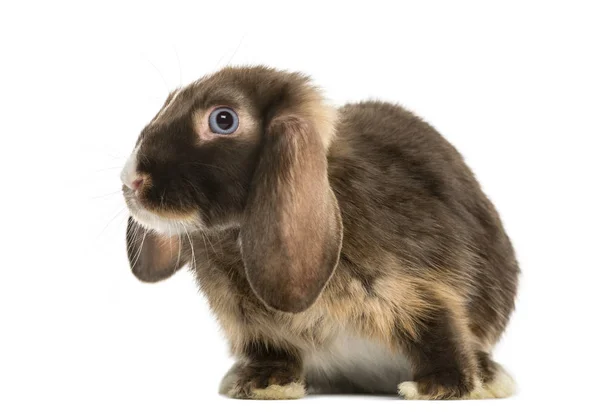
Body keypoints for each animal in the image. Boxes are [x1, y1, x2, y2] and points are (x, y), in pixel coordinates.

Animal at [120, 64, 516, 398]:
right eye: (168, 102)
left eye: (223, 119)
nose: (131, 180)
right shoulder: (258, 331)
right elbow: (272, 354)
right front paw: (263, 384)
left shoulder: (421, 292)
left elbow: (441, 332)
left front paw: (439, 387)